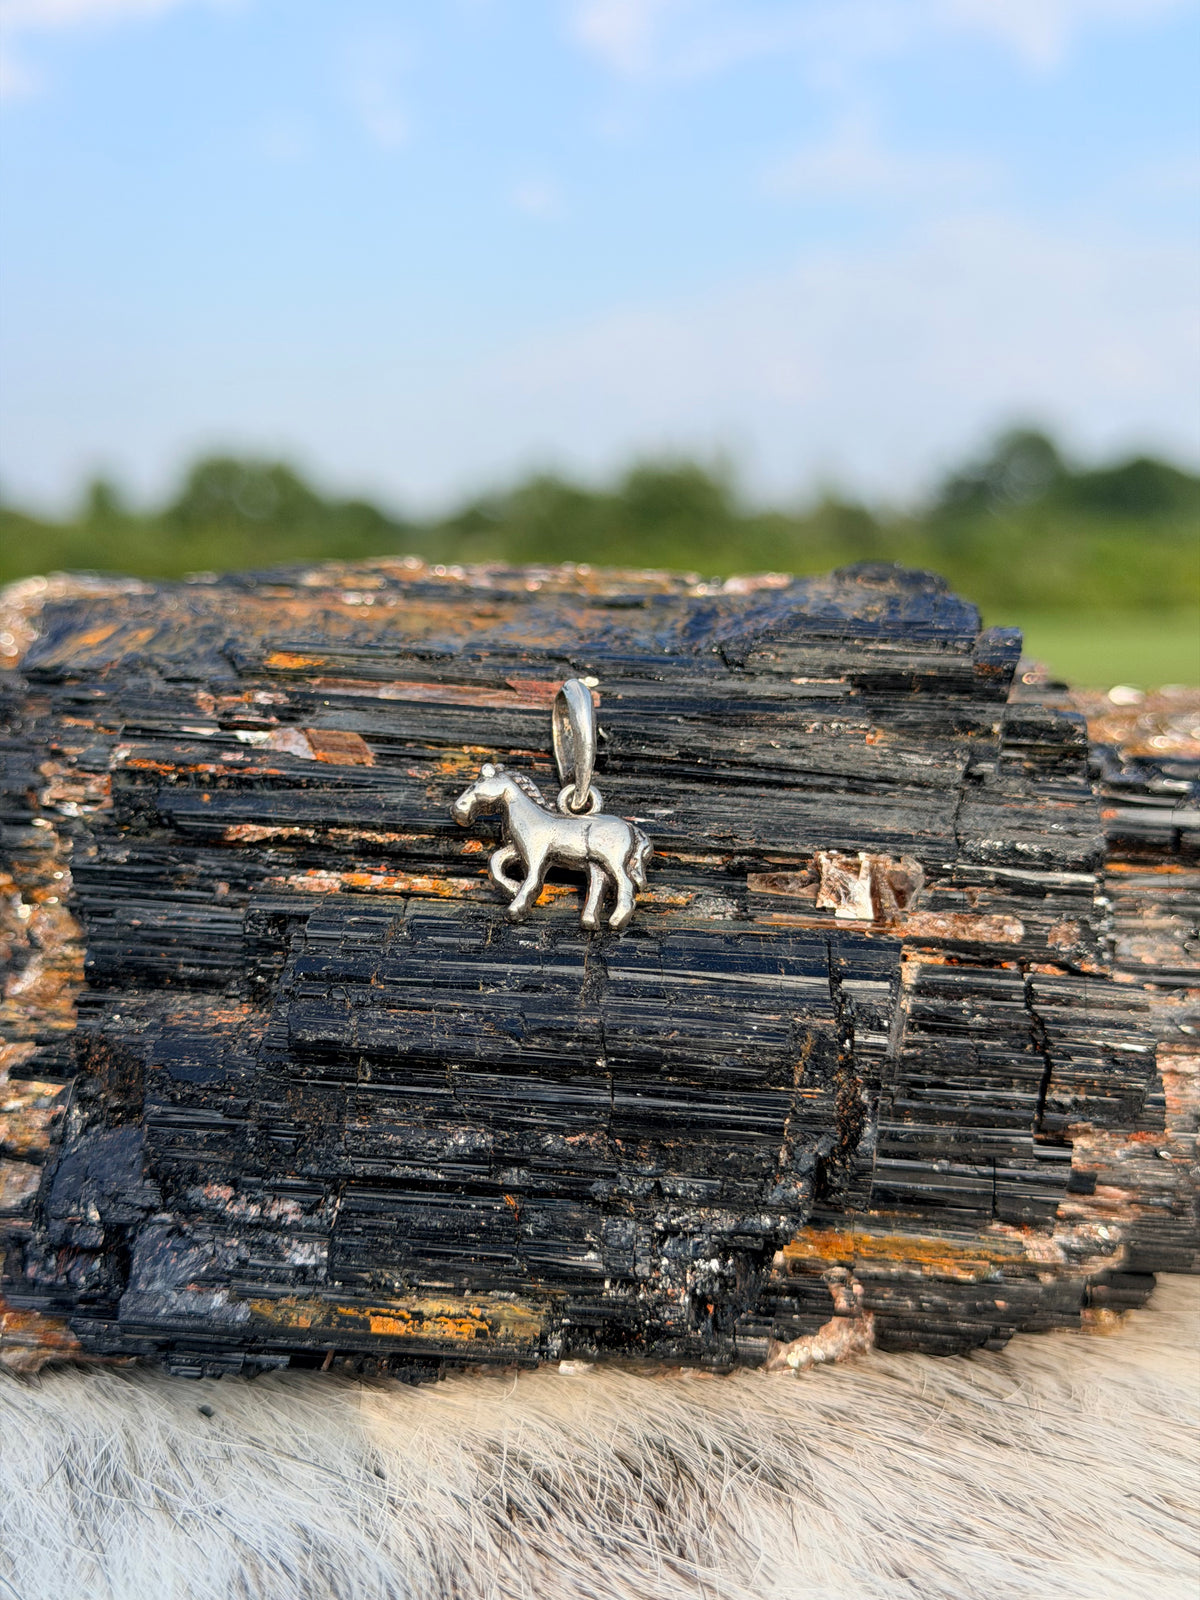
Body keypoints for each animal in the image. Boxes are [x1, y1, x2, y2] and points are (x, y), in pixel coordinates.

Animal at [452, 763, 652, 931]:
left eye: (475, 785)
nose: (458, 811)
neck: (531, 818)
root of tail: (630, 827)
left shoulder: (537, 856)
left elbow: (533, 882)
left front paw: (515, 910)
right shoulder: (517, 850)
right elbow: (494, 862)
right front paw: (513, 887)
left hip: (613, 861)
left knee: (626, 885)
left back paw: (616, 921)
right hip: (596, 865)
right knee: (597, 888)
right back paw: (589, 922)